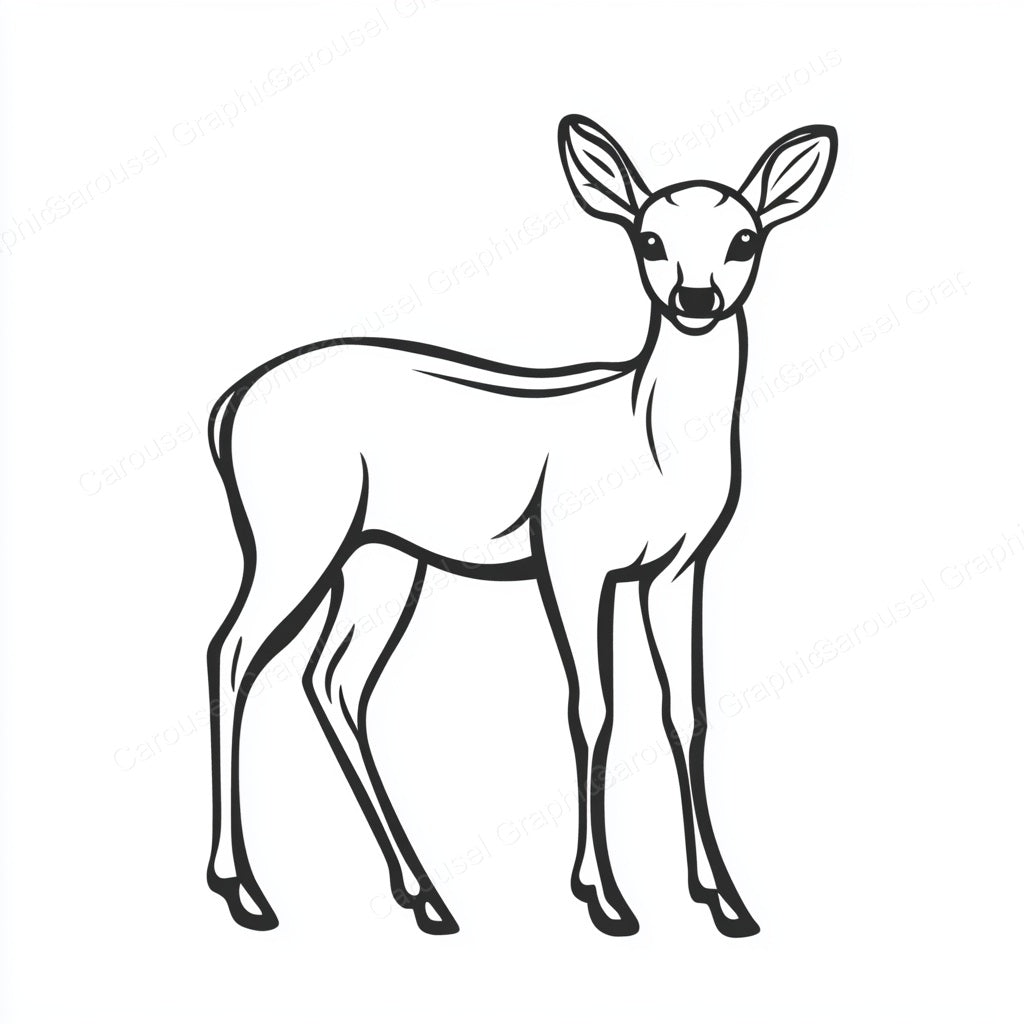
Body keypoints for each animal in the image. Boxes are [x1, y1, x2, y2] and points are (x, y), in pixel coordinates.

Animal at [205, 114, 837, 938]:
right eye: (649, 239)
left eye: (744, 238)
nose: (695, 298)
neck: (652, 439)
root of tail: (228, 406)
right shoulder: (573, 560)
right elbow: (593, 708)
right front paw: (604, 897)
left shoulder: (678, 568)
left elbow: (687, 710)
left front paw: (725, 899)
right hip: (295, 537)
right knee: (233, 652)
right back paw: (245, 890)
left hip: (382, 559)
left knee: (333, 680)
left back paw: (424, 896)